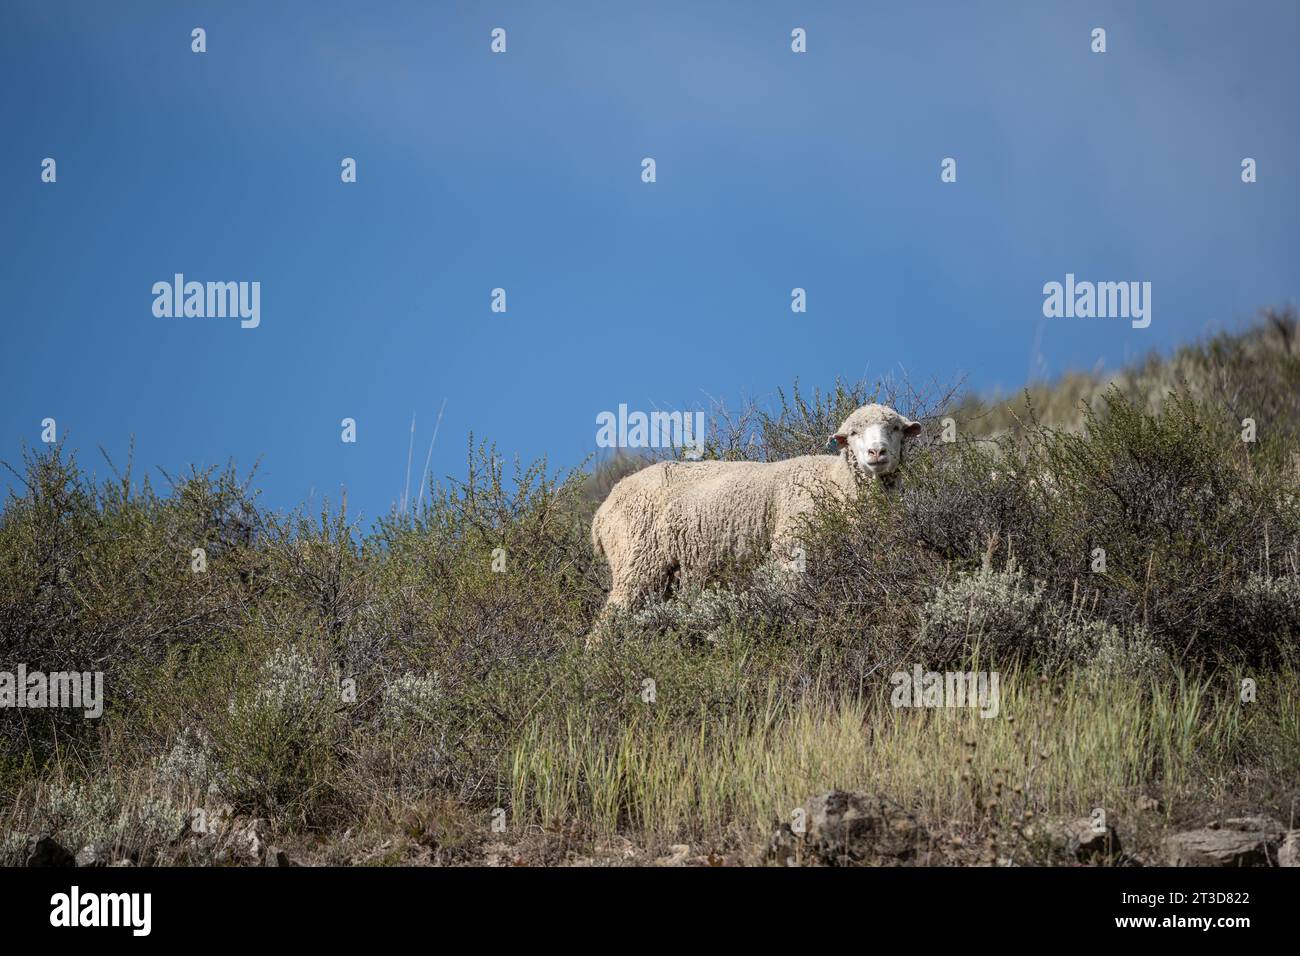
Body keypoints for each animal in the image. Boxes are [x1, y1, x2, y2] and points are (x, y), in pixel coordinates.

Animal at [592, 403, 925, 629]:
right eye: (854, 433)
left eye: (895, 429)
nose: (877, 453)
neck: (834, 482)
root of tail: (601, 511)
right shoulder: (792, 551)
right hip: (637, 562)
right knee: (606, 624)